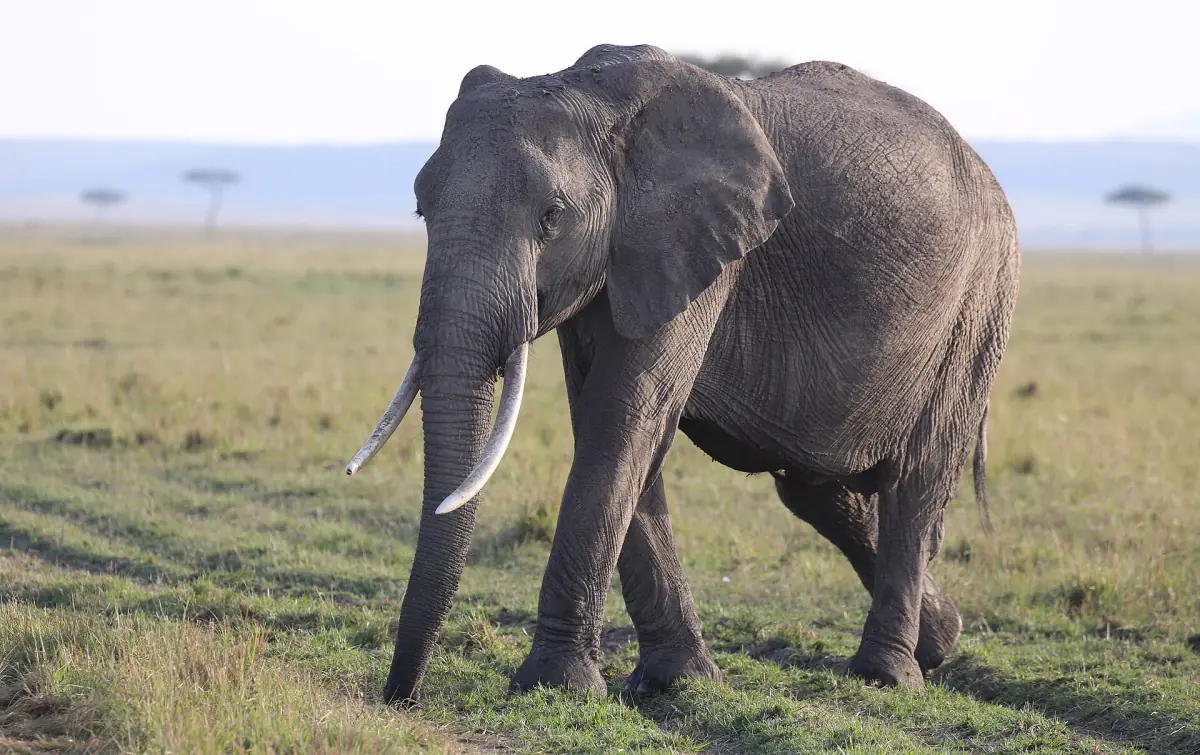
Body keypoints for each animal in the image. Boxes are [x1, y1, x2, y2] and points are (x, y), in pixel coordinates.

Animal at [345, 43, 1020, 704]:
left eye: (551, 217)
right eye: (421, 208)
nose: (400, 696)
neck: (590, 90)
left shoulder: (697, 249)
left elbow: (620, 423)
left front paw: (556, 686)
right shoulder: (623, 261)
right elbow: (615, 426)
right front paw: (676, 682)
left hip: (977, 305)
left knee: (913, 482)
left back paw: (886, 676)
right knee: (817, 489)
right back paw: (940, 641)